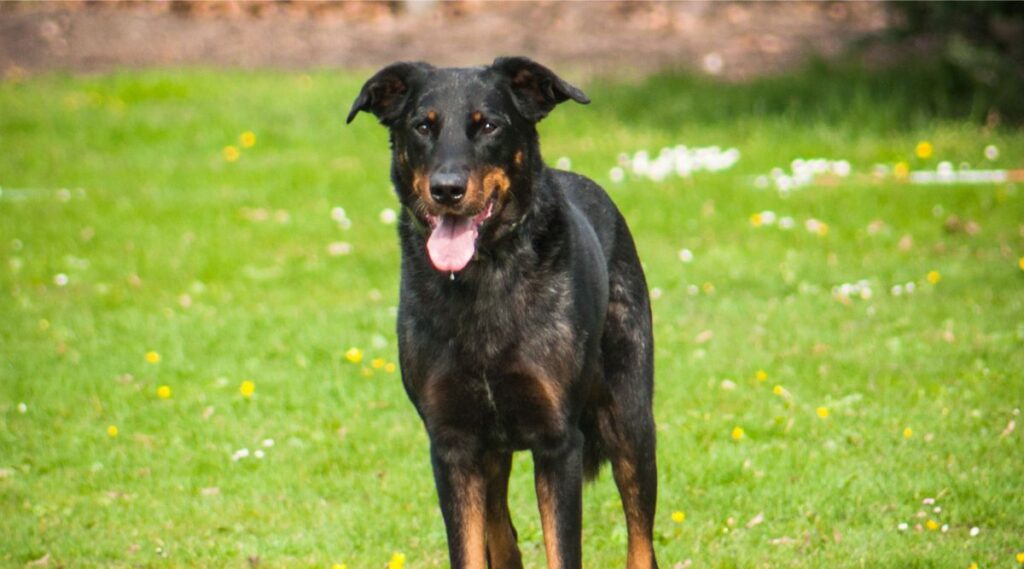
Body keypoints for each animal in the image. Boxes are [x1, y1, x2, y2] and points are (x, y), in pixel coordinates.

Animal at [348, 54, 659, 569]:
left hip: (630, 418)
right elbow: (472, 550)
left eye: (489, 125)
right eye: (422, 126)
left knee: (641, 537)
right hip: (491, 452)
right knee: (503, 532)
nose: (447, 189)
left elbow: (563, 551)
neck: (483, 279)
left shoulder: (557, 443)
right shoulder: (452, 446)